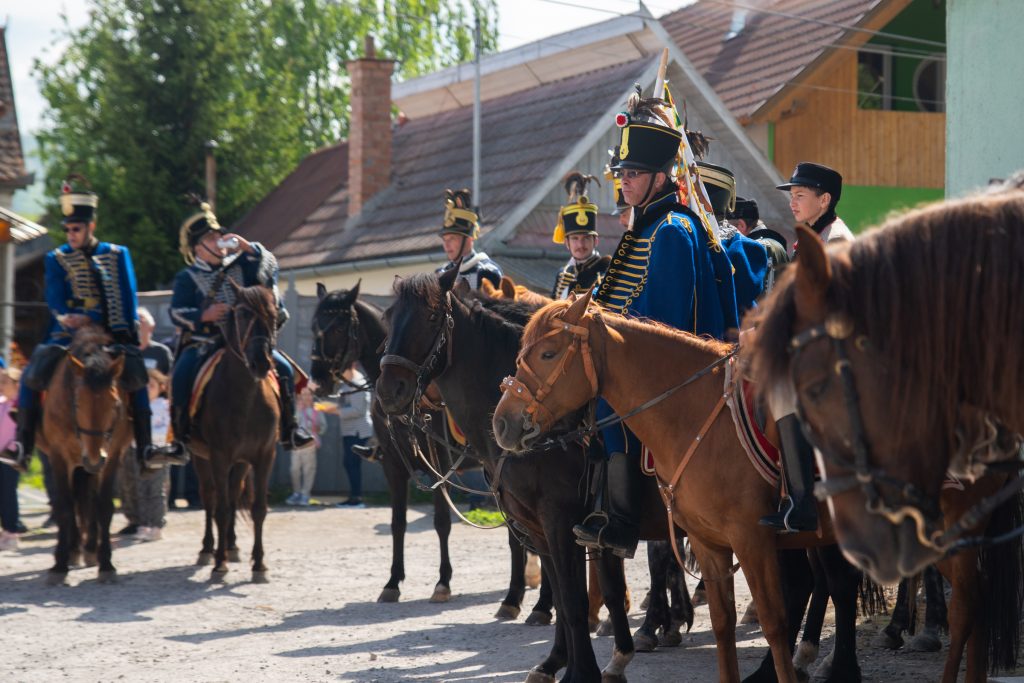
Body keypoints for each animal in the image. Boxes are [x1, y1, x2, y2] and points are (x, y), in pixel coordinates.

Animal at [36, 323, 133, 585]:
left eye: (115, 403)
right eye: (77, 403)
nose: (94, 457)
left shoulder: (112, 456)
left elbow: (103, 506)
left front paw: (106, 563)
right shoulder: (58, 457)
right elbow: (64, 506)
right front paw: (59, 565)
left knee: (87, 499)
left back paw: (89, 550)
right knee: (76, 500)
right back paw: (74, 550)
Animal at [188, 282, 280, 581]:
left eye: (274, 316)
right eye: (241, 315)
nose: (261, 363)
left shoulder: (264, 456)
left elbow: (258, 509)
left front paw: (259, 563)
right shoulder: (219, 456)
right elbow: (221, 508)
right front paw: (220, 563)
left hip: (240, 463)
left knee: (232, 490)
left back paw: (232, 545)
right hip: (201, 457)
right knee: (210, 497)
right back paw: (209, 549)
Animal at [307, 280, 536, 618]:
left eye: (336, 328)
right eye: (314, 327)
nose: (317, 381)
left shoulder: (438, 464)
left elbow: (441, 522)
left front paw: (442, 583)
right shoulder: (393, 464)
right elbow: (397, 523)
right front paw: (392, 583)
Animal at [491, 296, 876, 683]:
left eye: (548, 353)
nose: (502, 423)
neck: (694, 413)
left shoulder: (751, 539)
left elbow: (773, 622)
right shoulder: (706, 542)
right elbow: (721, 622)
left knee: (833, 585)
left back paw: (837, 667)